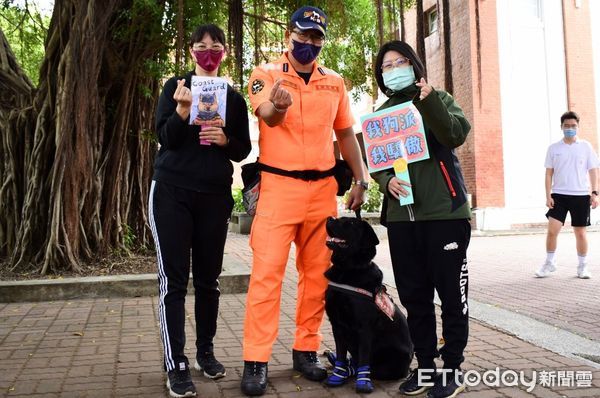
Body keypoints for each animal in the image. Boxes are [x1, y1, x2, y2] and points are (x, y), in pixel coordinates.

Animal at [324, 216, 412, 394]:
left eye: (350, 223)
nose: (329, 218)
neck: (347, 269)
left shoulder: (364, 328)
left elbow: (364, 356)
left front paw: (363, 382)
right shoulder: (336, 324)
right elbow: (341, 353)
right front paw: (338, 375)